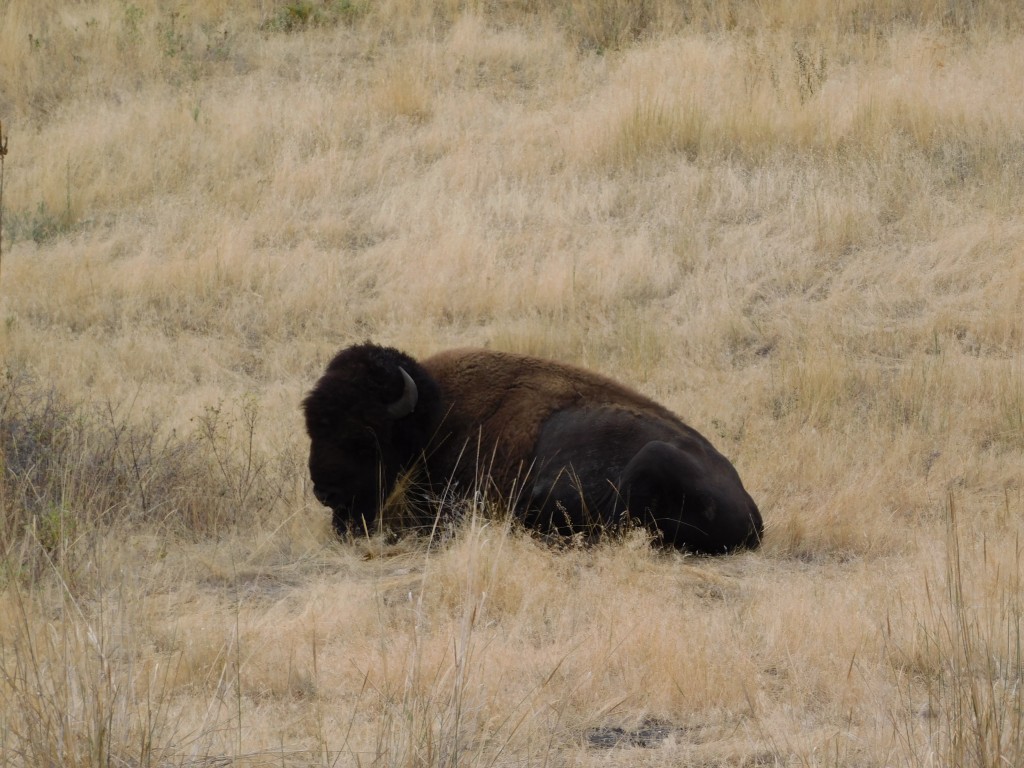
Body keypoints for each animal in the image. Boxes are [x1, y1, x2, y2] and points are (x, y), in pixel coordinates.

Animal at [299, 346, 765, 557]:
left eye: (365, 437)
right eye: (312, 428)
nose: (325, 492)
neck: (431, 419)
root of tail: (753, 513)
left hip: (654, 457)